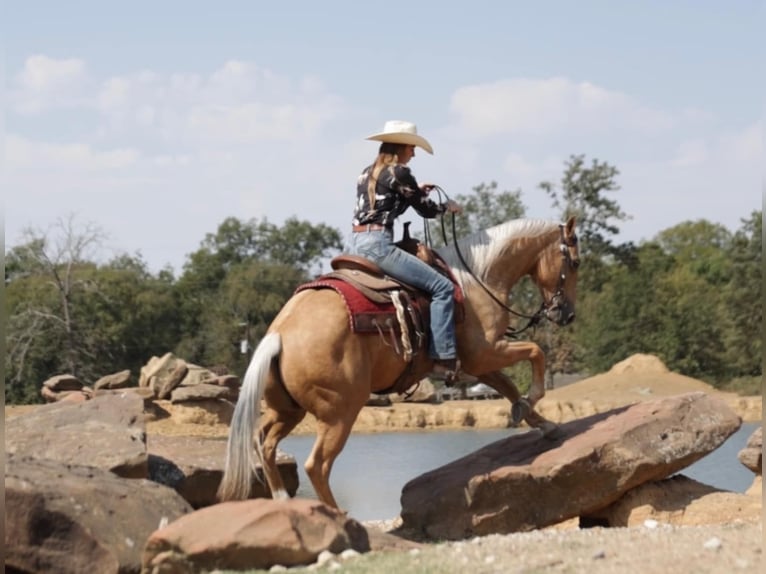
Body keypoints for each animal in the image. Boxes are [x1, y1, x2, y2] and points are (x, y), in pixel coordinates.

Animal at [219, 216, 580, 508]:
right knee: (316, 465)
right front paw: (534, 401)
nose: (566, 314)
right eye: (575, 262)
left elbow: (507, 386)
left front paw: (542, 423)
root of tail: (278, 335)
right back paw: (337, 516)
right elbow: (536, 352)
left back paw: (284, 501)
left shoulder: (475, 363)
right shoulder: (486, 352)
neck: (477, 278)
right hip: (340, 412)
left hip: (288, 410)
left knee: (263, 442)